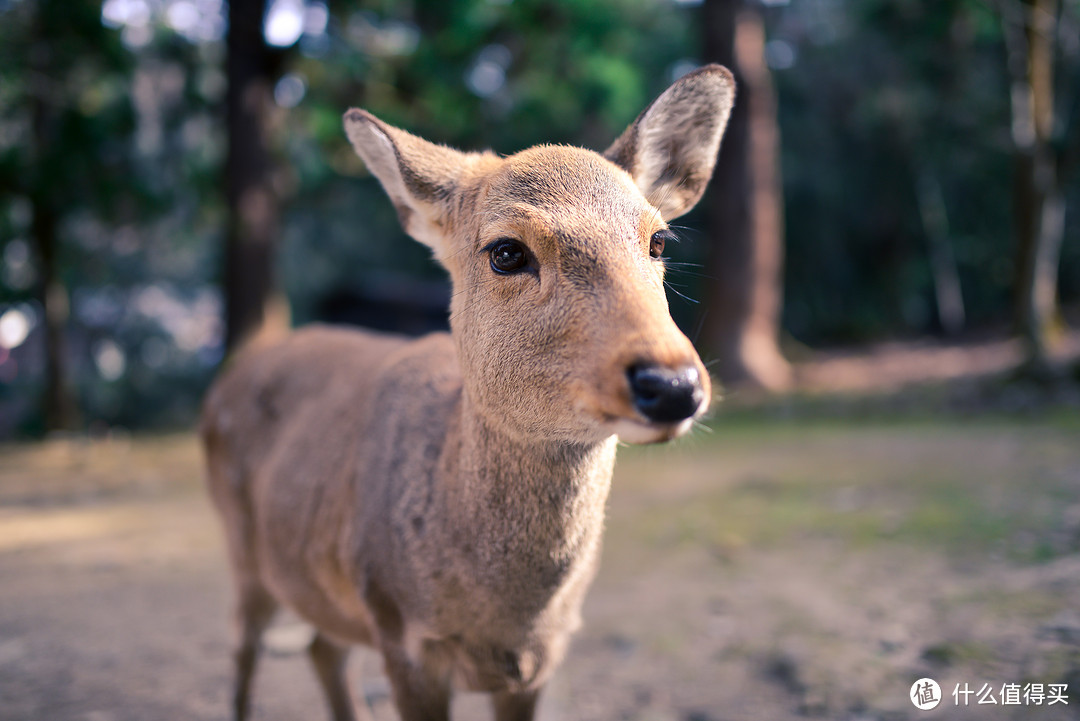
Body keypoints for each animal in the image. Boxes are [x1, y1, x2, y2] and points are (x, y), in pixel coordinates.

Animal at [204, 63, 734, 721]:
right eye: (506, 251)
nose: (672, 384)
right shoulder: (402, 636)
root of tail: (230, 376)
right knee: (244, 648)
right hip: (241, 547)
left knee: (321, 649)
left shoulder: (540, 661)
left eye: (660, 241)